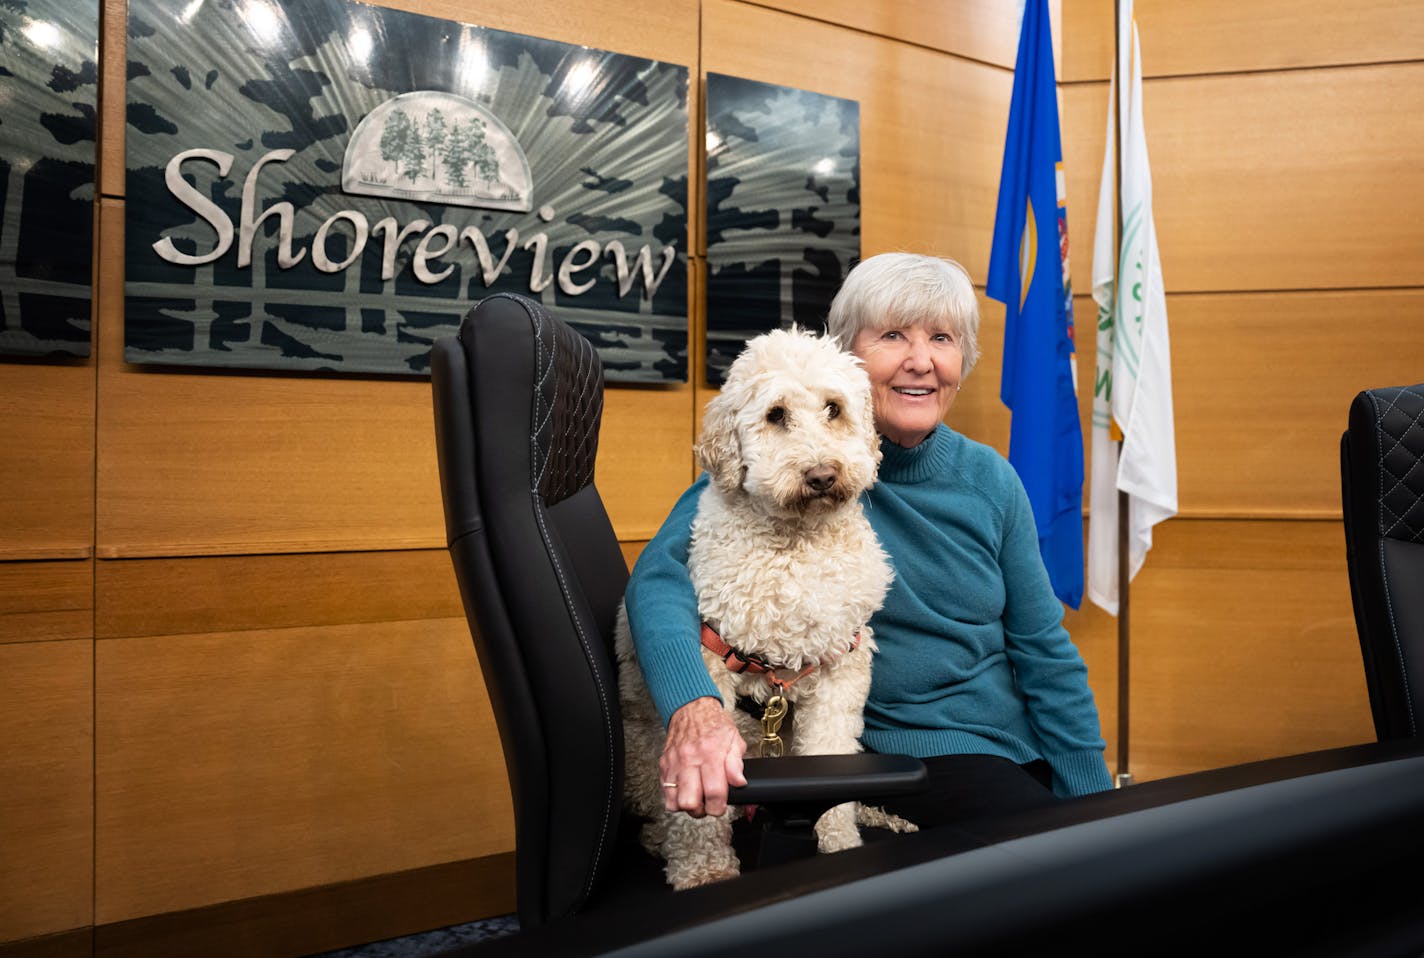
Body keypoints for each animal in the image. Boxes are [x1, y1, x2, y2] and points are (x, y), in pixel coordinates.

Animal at [618, 324, 894, 888]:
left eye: (834, 408)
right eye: (775, 415)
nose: (822, 474)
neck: (796, 545)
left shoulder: (841, 671)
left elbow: (833, 760)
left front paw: (840, 843)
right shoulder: (712, 660)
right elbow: (698, 806)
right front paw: (705, 870)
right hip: (640, 752)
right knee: (653, 807)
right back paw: (659, 839)